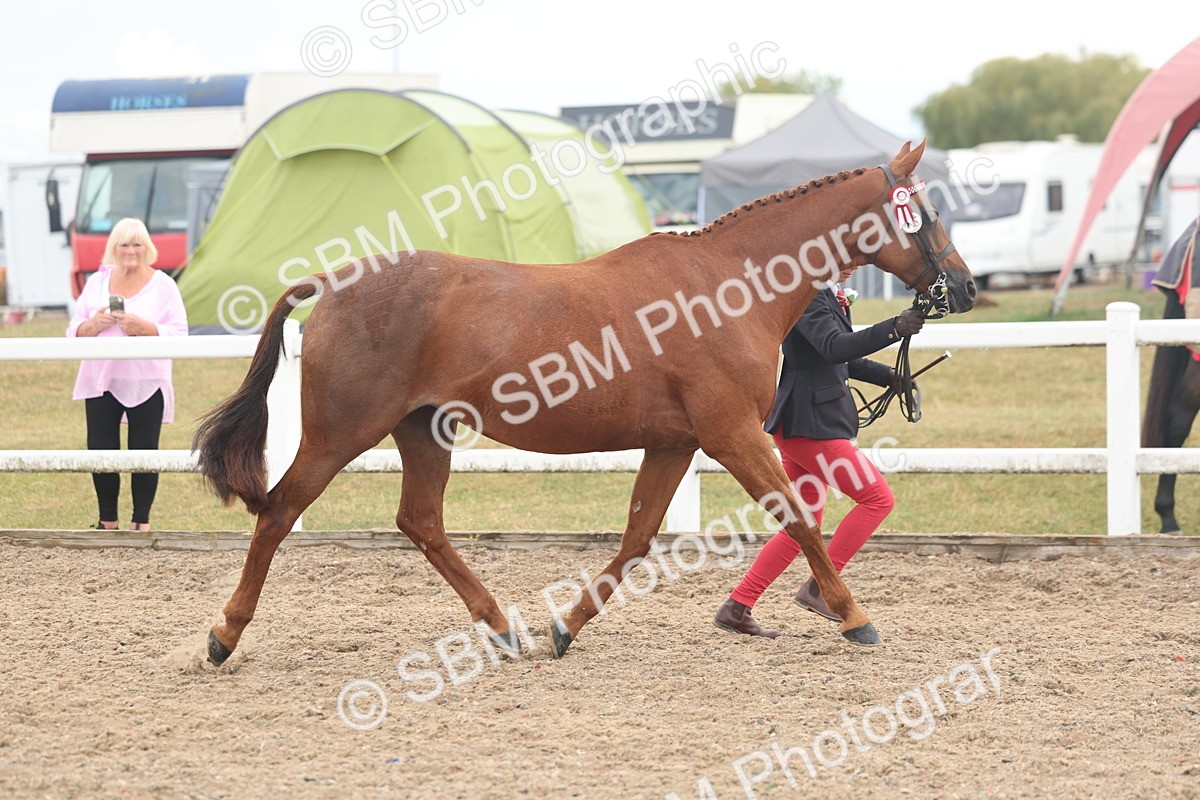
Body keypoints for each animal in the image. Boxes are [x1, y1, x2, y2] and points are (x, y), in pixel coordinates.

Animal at [194, 140, 976, 666]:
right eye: (927, 212)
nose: (964, 288)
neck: (729, 284)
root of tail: (332, 282)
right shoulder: (732, 434)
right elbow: (800, 520)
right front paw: (853, 616)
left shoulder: (675, 442)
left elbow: (635, 540)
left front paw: (565, 626)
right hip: (341, 432)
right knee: (279, 513)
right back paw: (224, 635)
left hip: (423, 431)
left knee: (420, 522)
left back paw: (502, 628)